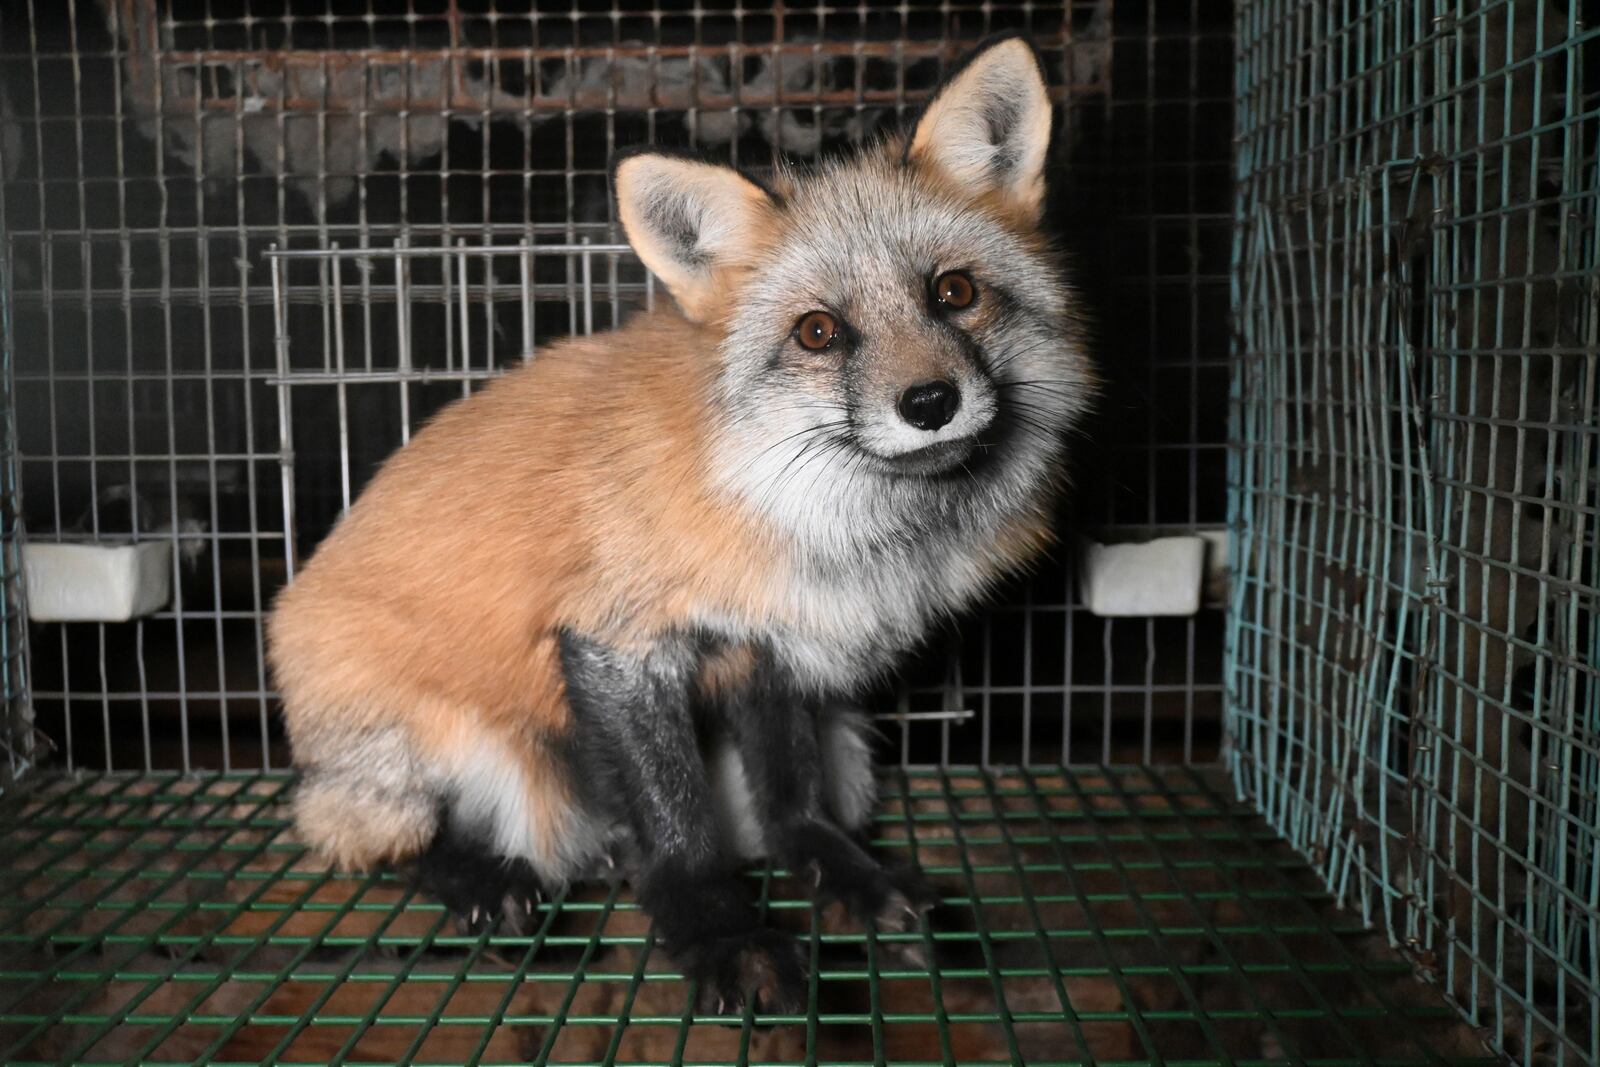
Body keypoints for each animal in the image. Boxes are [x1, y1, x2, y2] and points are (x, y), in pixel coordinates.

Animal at [268, 33, 1094, 1017]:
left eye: (955, 291)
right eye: (819, 332)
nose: (930, 402)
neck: (802, 519)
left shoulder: (779, 646)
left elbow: (792, 799)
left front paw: (843, 874)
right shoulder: (618, 644)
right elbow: (676, 819)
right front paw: (717, 931)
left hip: (849, 741)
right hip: (474, 757)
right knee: (374, 839)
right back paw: (479, 876)